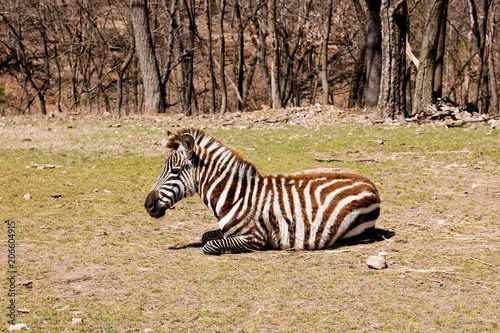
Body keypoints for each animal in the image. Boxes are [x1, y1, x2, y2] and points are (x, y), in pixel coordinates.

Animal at [146, 128, 380, 253]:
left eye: (175, 171)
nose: (148, 205)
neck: (235, 195)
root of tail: (369, 182)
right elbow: (206, 236)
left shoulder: (254, 237)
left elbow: (209, 246)